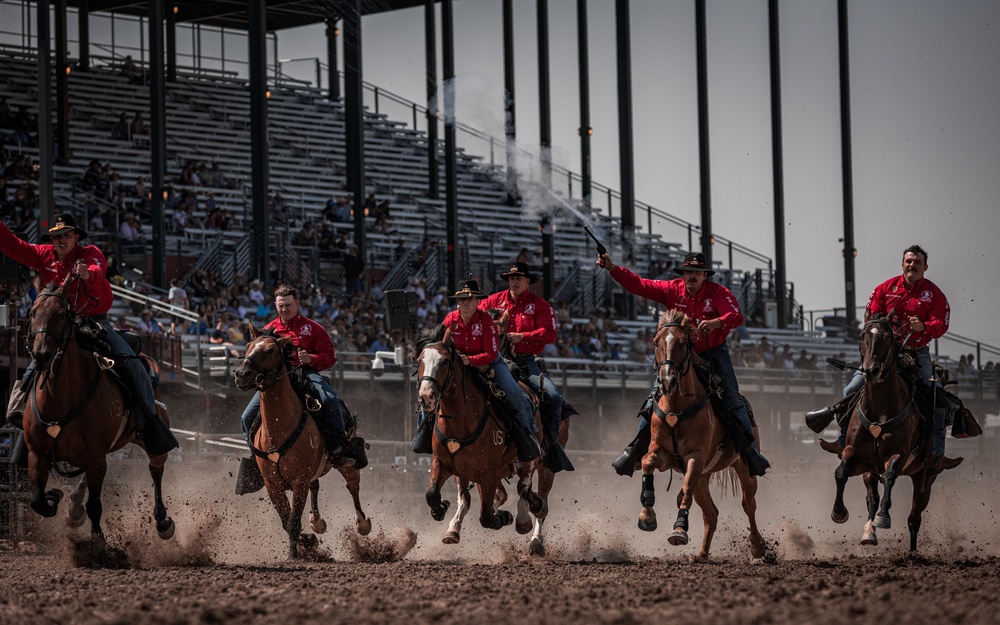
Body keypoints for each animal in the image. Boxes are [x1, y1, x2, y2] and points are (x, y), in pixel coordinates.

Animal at [23, 280, 176, 544]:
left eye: (61, 315)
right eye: (33, 313)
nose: (42, 355)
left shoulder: (95, 457)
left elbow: (95, 505)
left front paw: (98, 542)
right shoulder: (38, 453)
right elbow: (37, 501)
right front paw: (54, 497)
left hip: (149, 439)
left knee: (156, 469)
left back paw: (162, 521)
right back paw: (74, 508)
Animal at [233, 324, 372, 560]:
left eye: (270, 350)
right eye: (248, 346)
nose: (242, 374)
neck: (279, 429)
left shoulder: (299, 482)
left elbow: (292, 521)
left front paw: (293, 555)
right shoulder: (273, 485)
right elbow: (285, 521)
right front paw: (308, 541)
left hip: (347, 462)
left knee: (353, 485)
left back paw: (362, 524)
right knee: (316, 485)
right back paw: (316, 522)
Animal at [416, 326, 548, 552]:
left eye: (445, 361)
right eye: (419, 361)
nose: (426, 396)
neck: (460, 421)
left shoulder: (487, 473)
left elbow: (486, 516)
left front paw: (503, 517)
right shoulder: (442, 463)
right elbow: (431, 494)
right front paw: (440, 508)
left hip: (530, 457)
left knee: (524, 487)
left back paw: (526, 520)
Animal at [636, 310, 768, 560]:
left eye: (683, 342)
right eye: (656, 342)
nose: (667, 381)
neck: (677, 409)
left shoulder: (695, 458)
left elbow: (685, 489)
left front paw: (679, 529)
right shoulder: (663, 453)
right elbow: (647, 462)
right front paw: (647, 516)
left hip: (743, 468)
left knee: (749, 504)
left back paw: (757, 546)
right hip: (704, 478)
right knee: (711, 513)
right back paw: (701, 553)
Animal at [828, 316, 960, 552]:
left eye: (887, 338)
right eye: (862, 336)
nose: (871, 371)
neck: (879, 408)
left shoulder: (899, 455)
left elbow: (889, 476)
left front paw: (883, 516)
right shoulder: (857, 456)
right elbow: (841, 472)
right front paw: (839, 512)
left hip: (925, 477)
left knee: (914, 517)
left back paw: (912, 551)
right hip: (871, 472)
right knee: (872, 498)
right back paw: (869, 533)